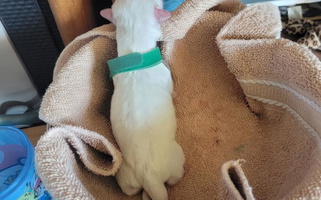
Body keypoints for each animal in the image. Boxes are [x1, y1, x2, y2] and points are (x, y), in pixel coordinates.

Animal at [100, 0, 185, 200]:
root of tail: (149, 176)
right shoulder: (166, 76)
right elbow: (171, 90)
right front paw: (175, 95)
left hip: (124, 174)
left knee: (131, 190)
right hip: (176, 157)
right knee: (174, 178)